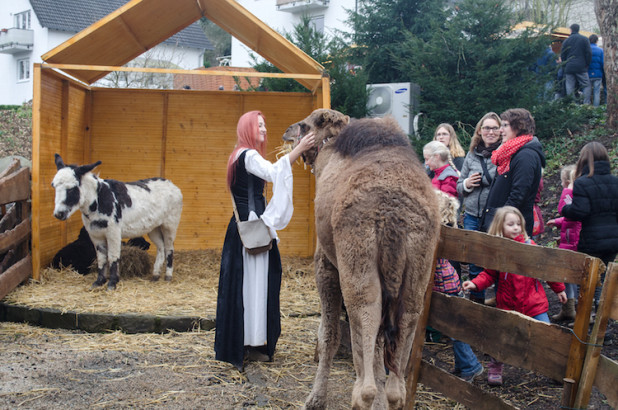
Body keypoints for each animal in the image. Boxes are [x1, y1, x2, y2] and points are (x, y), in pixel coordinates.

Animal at [51, 154, 182, 292]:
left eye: (72, 189)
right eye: (53, 186)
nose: (58, 214)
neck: (98, 200)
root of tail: (171, 184)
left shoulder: (113, 232)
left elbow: (113, 257)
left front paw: (112, 283)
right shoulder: (95, 235)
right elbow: (101, 259)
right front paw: (99, 282)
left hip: (170, 225)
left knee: (169, 248)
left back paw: (168, 276)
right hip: (154, 227)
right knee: (161, 248)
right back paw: (155, 275)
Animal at [282, 109, 440, 410]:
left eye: (305, 125)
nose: (286, 131)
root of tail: (394, 216)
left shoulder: (326, 264)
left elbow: (330, 335)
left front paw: (315, 399)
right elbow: (377, 352)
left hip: (358, 265)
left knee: (364, 363)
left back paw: (361, 397)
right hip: (416, 276)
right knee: (397, 376)